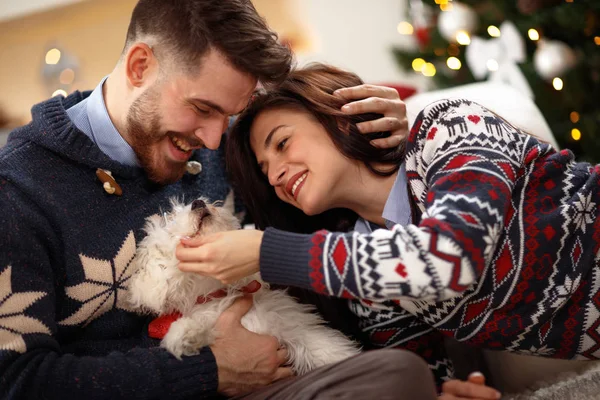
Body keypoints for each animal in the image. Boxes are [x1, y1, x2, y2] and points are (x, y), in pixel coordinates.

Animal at [128, 197, 358, 376]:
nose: (197, 202)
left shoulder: (292, 329)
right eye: (170, 225)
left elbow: (325, 349)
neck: (220, 291)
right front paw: (184, 335)